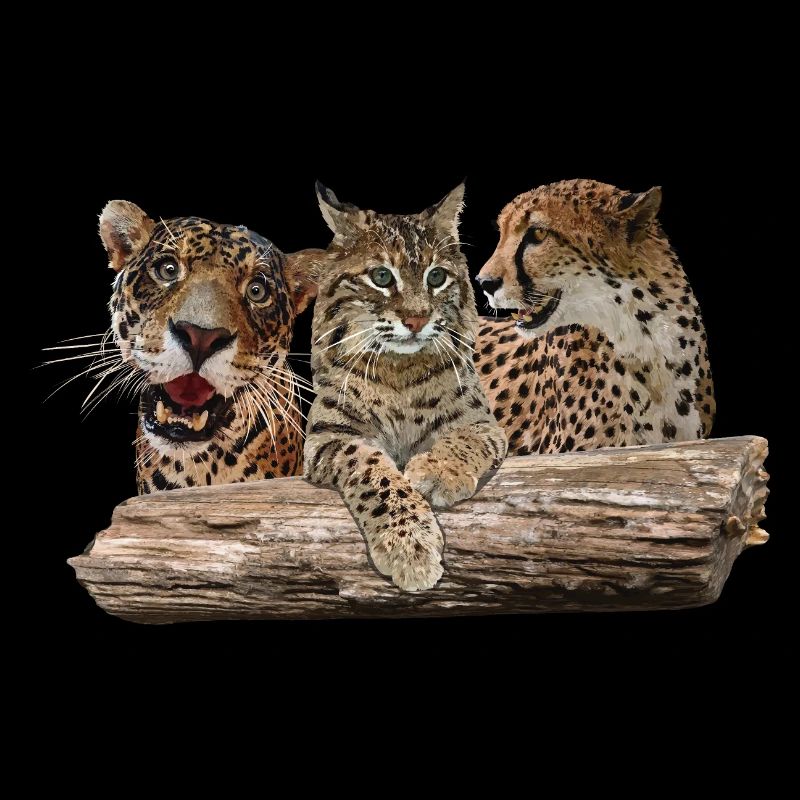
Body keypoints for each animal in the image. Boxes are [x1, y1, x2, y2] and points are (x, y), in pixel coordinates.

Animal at [304, 182, 508, 592]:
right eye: (382, 277)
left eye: (436, 277)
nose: (416, 320)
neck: (399, 369)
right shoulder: (329, 435)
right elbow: (373, 471)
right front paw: (409, 546)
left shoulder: (482, 423)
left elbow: (464, 439)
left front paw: (440, 469)